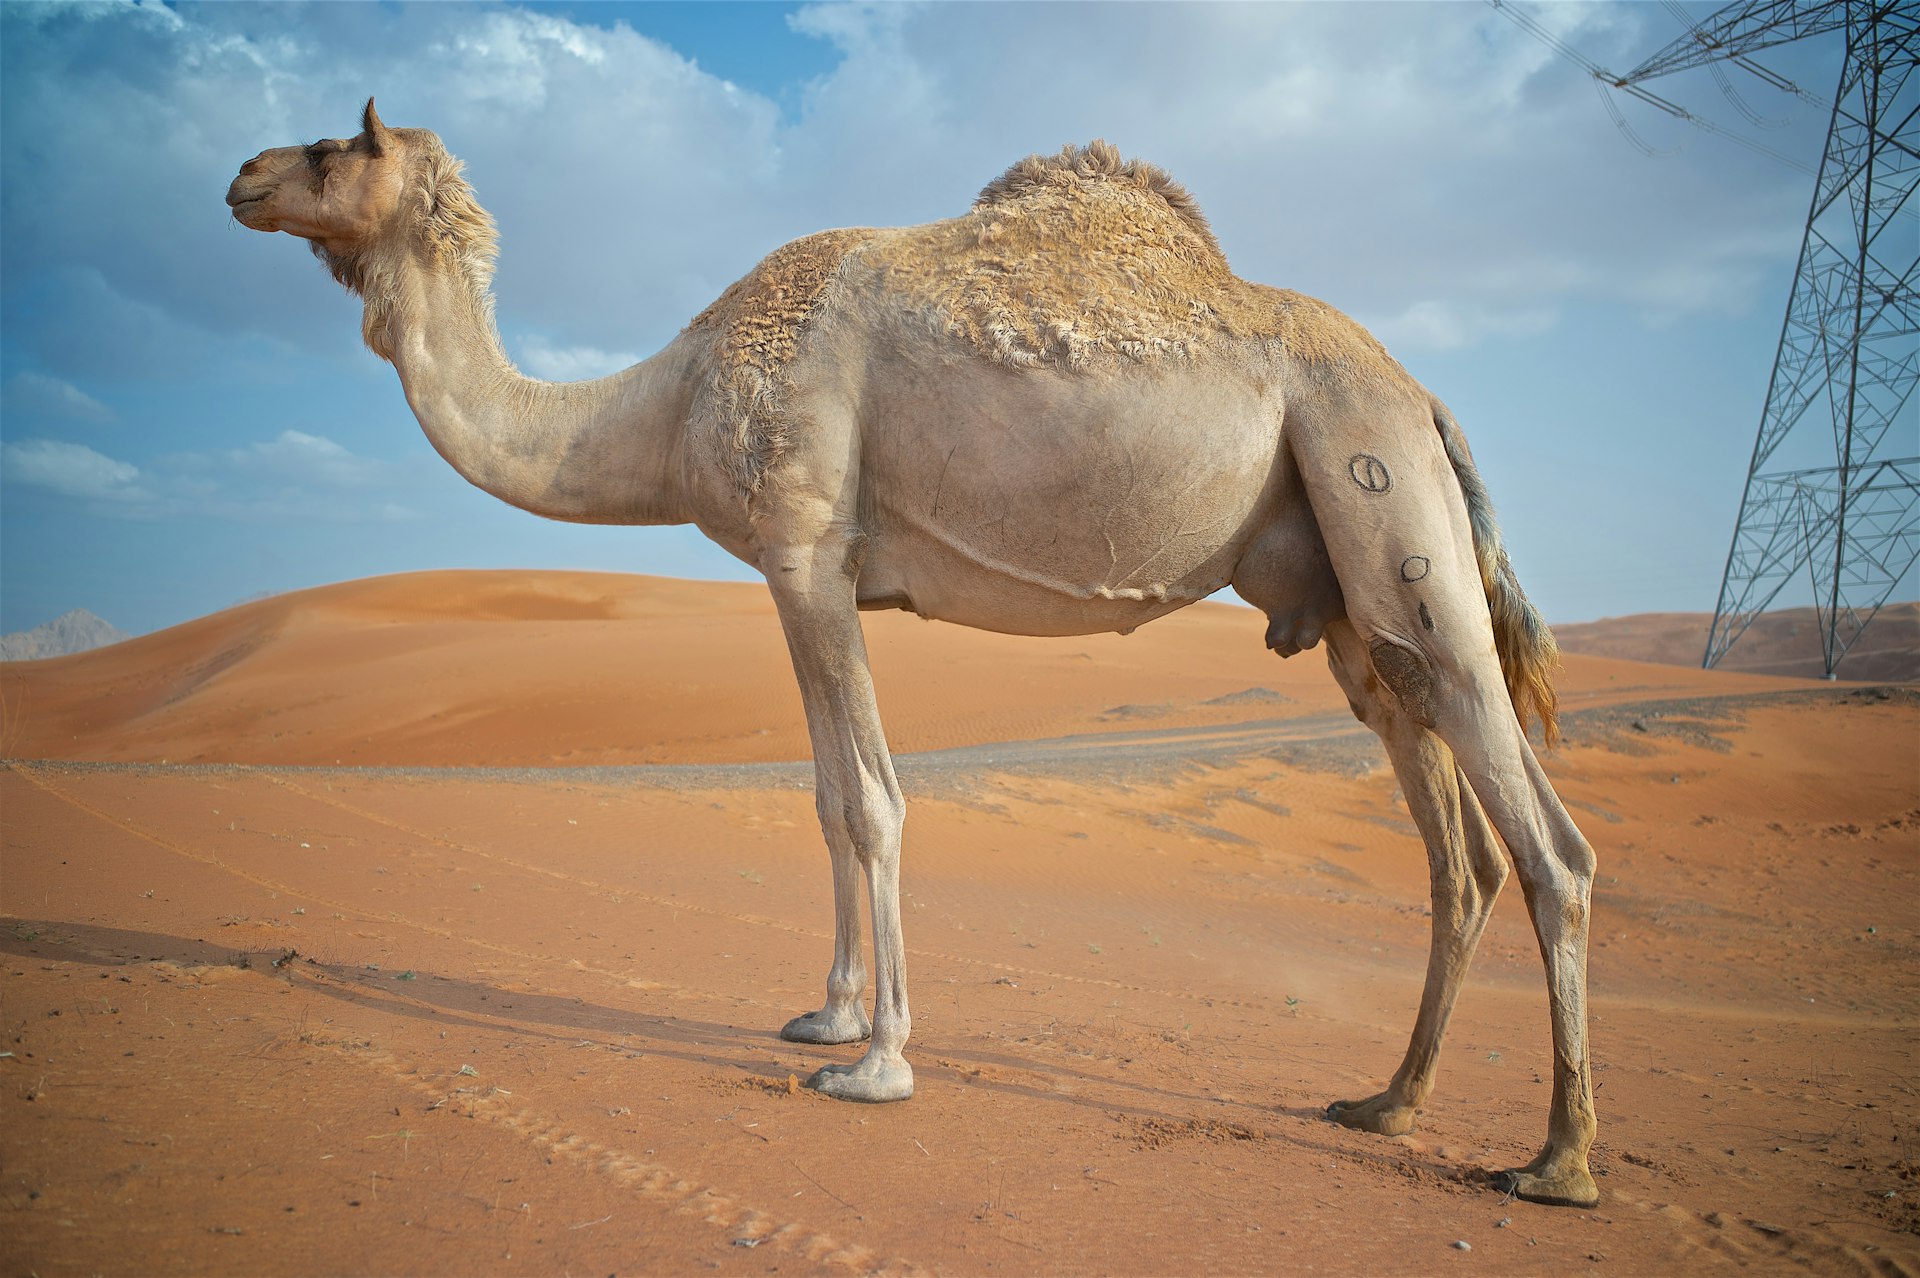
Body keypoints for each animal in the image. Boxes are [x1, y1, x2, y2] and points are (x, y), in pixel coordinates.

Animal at [226, 101, 1599, 1209]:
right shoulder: (812, 579)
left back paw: (1556, 1162)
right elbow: (828, 798)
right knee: (1455, 839)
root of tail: (1422, 396)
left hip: (1381, 484)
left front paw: (879, 1066)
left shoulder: (802, 553)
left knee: (1548, 842)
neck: (671, 399)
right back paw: (1386, 1103)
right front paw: (826, 1017)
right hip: (1350, 586)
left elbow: (875, 802)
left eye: (338, 144)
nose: (241, 173)